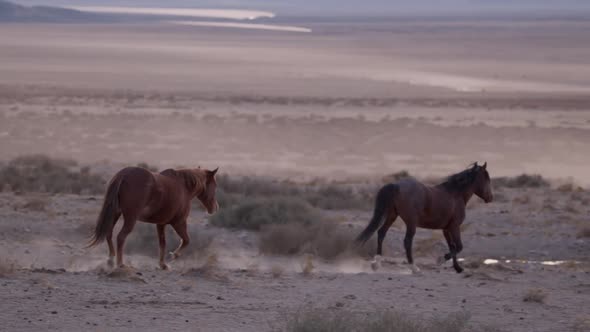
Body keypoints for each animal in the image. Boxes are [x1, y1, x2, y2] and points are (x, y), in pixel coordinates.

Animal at [90, 166, 222, 270]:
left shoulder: (161, 224)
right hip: (130, 218)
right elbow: (186, 240)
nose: (215, 208)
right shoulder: (179, 222)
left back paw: (110, 260)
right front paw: (174, 255)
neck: (184, 187)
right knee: (121, 237)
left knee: (109, 233)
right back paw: (120, 264)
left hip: (115, 214)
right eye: (215, 186)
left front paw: (162, 264)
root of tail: (124, 175)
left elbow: (162, 243)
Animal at [356, 162, 494, 274]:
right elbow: (459, 247)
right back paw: (414, 268)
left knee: (381, 233)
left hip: (392, 216)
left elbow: (452, 247)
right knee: (407, 241)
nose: (490, 198)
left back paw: (376, 264)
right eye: (486, 179)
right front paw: (441, 260)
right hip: (410, 223)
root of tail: (396, 185)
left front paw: (458, 268)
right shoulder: (454, 227)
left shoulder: (446, 229)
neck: (455, 195)